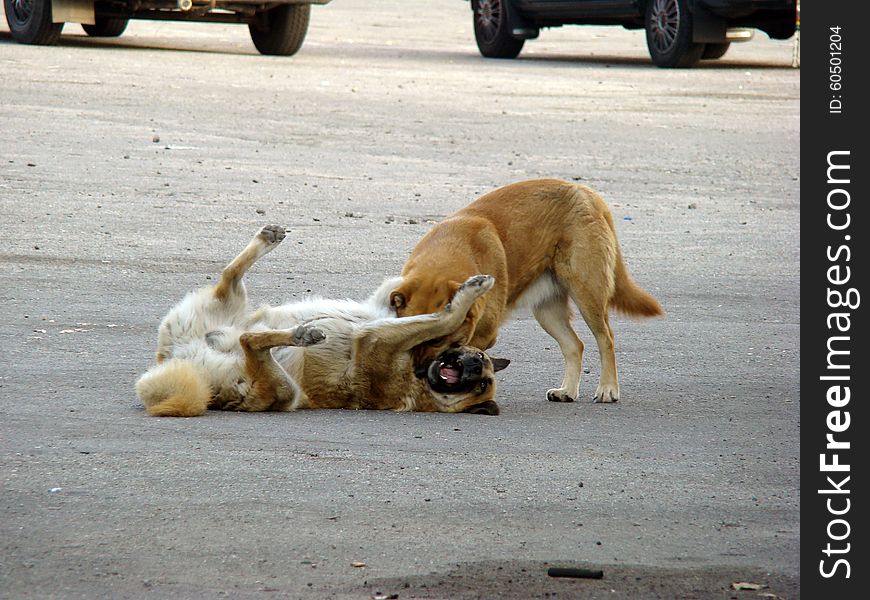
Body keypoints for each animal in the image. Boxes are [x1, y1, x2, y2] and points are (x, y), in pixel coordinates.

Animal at [133, 225, 508, 418]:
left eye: (480, 384)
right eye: (479, 358)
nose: (473, 366)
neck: (420, 380)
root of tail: (174, 359)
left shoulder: (376, 337)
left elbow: (446, 318)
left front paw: (464, 299)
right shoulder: (383, 312)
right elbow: (412, 301)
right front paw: (463, 290)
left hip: (283, 391)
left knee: (250, 341)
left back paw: (301, 335)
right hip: (224, 306)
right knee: (230, 277)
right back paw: (267, 240)